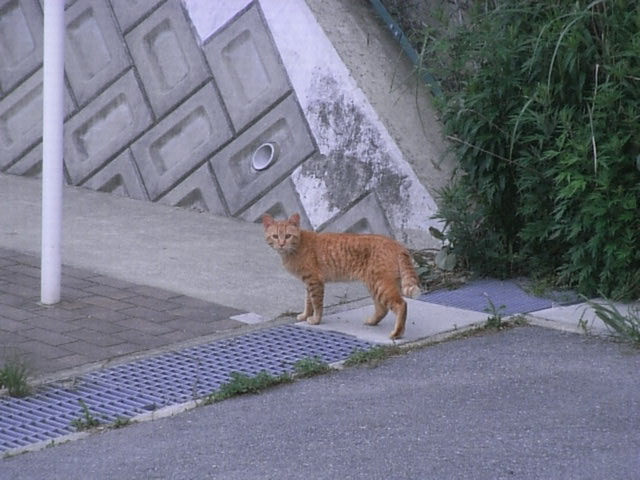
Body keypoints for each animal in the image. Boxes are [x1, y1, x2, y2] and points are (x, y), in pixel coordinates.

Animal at [262, 212, 420, 340]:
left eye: (288, 236)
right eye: (275, 236)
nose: (281, 244)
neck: (296, 247)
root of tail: (397, 244)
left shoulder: (314, 281)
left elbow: (316, 303)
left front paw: (315, 320)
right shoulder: (308, 282)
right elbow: (308, 302)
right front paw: (306, 315)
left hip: (381, 285)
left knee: (401, 304)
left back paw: (397, 333)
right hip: (375, 285)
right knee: (382, 309)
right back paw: (372, 321)